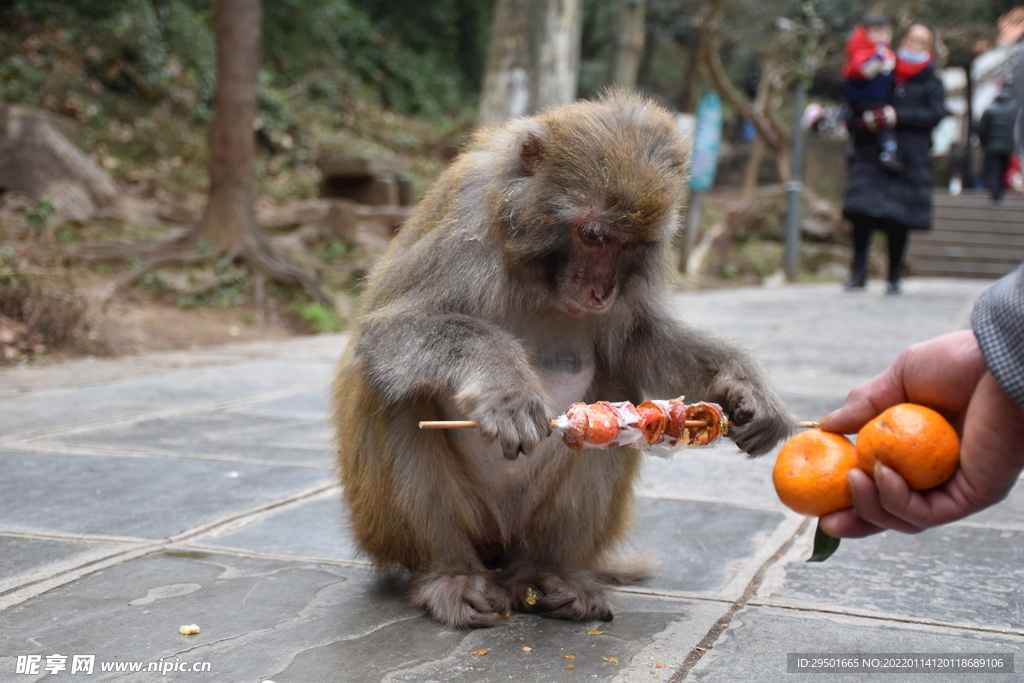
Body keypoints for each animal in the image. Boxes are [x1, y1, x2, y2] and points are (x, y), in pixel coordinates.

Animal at [331, 92, 794, 630]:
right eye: (594, 235)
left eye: (631, 245)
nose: (602, 290)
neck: (535, 270)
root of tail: (499, 552)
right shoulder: (464, 226)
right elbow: (382, 336)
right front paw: (506, 386)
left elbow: (639, 342)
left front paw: (745, 388)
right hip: (391, 526)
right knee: (394, 393)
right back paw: (448, 574)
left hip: (537, 517)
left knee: (615, 387)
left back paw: (551, 576)